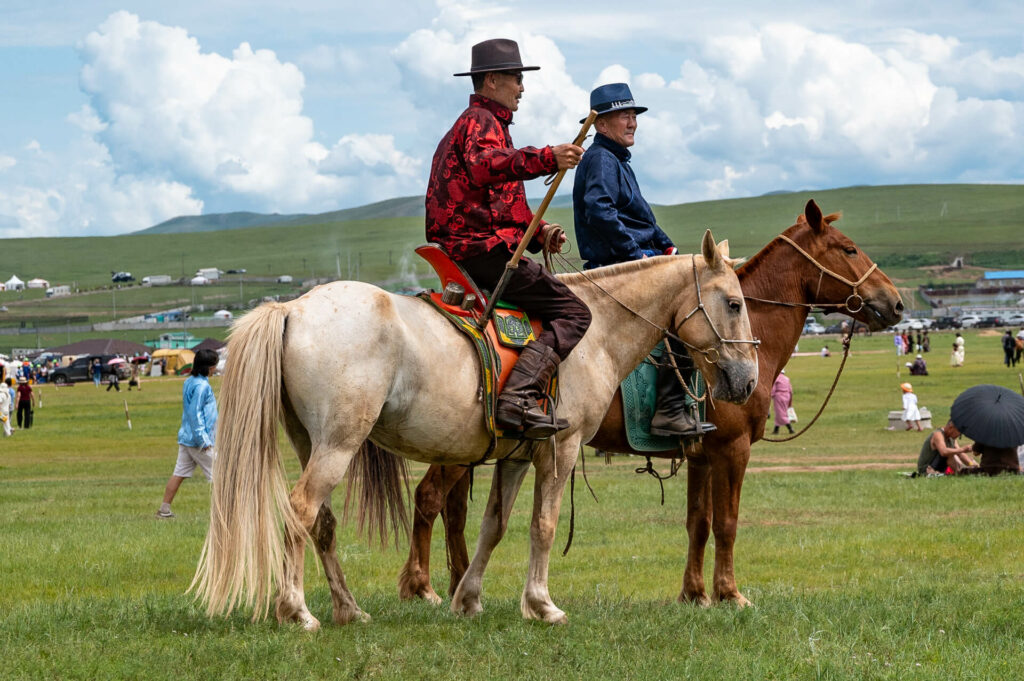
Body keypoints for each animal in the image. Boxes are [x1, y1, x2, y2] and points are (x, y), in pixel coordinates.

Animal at [190, 228, 761, 626]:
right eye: (733, 303)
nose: (747, 379)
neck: (597, 330)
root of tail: (291, 308)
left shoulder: (517, 453)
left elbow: (495, 525)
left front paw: (468, 600)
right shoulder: (561, 447)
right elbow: (544, 524)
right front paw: (543, 605)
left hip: (311, 440)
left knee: (323, 523)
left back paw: (349, 610)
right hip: (338, 443)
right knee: (300, 510)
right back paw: (298, 611)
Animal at [395, 199, 901, 602]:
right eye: (849, 249)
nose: (895, 303)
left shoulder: (702, 454)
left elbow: (699, 522)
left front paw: (695, 595)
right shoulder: (732, 450)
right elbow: (728, 522)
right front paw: (730, 594)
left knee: (454, 510)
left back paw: (460, 582)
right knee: (430, 499)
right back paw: (423, 587)